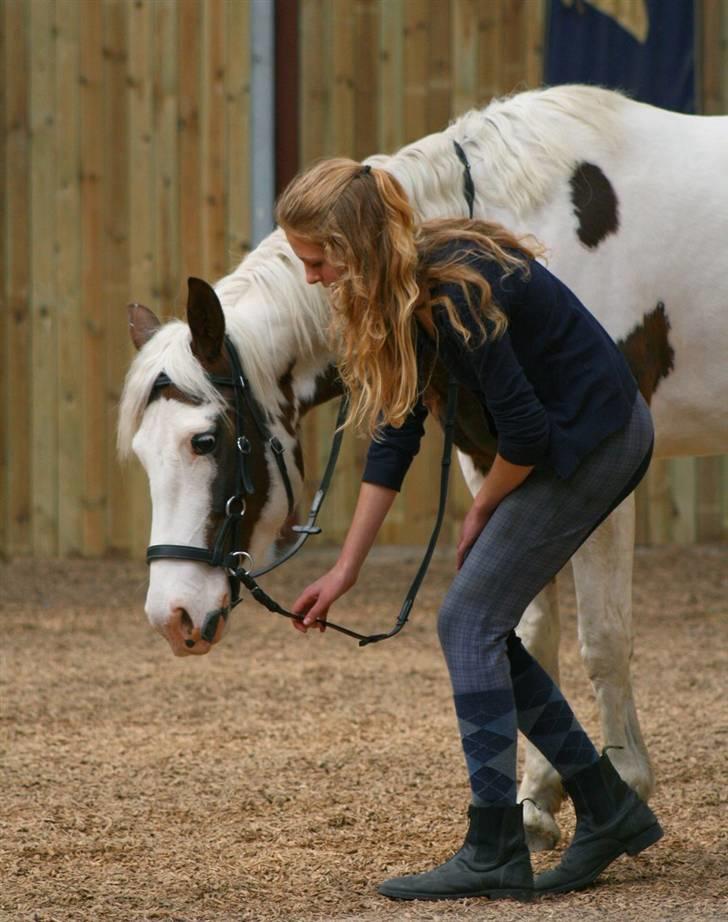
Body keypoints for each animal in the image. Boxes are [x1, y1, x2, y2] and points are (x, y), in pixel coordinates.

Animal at [116, 86, 724, 848]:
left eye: (204, 441)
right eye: (142, 453)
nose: (171, 616)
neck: (513, 217)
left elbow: (603, 639)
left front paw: (626, 784)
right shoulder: (490, 462)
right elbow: (531, 632)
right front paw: (537, 800)